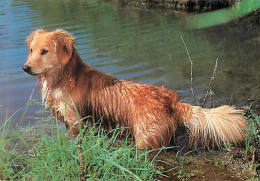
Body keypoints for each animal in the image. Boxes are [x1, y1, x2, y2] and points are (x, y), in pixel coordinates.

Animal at [22, 29, 248, 148]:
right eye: (31, 50)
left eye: (44, 51)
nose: (25, 68)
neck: (64, 78)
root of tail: (170, 100)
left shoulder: (76, 120)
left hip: (145, 138)